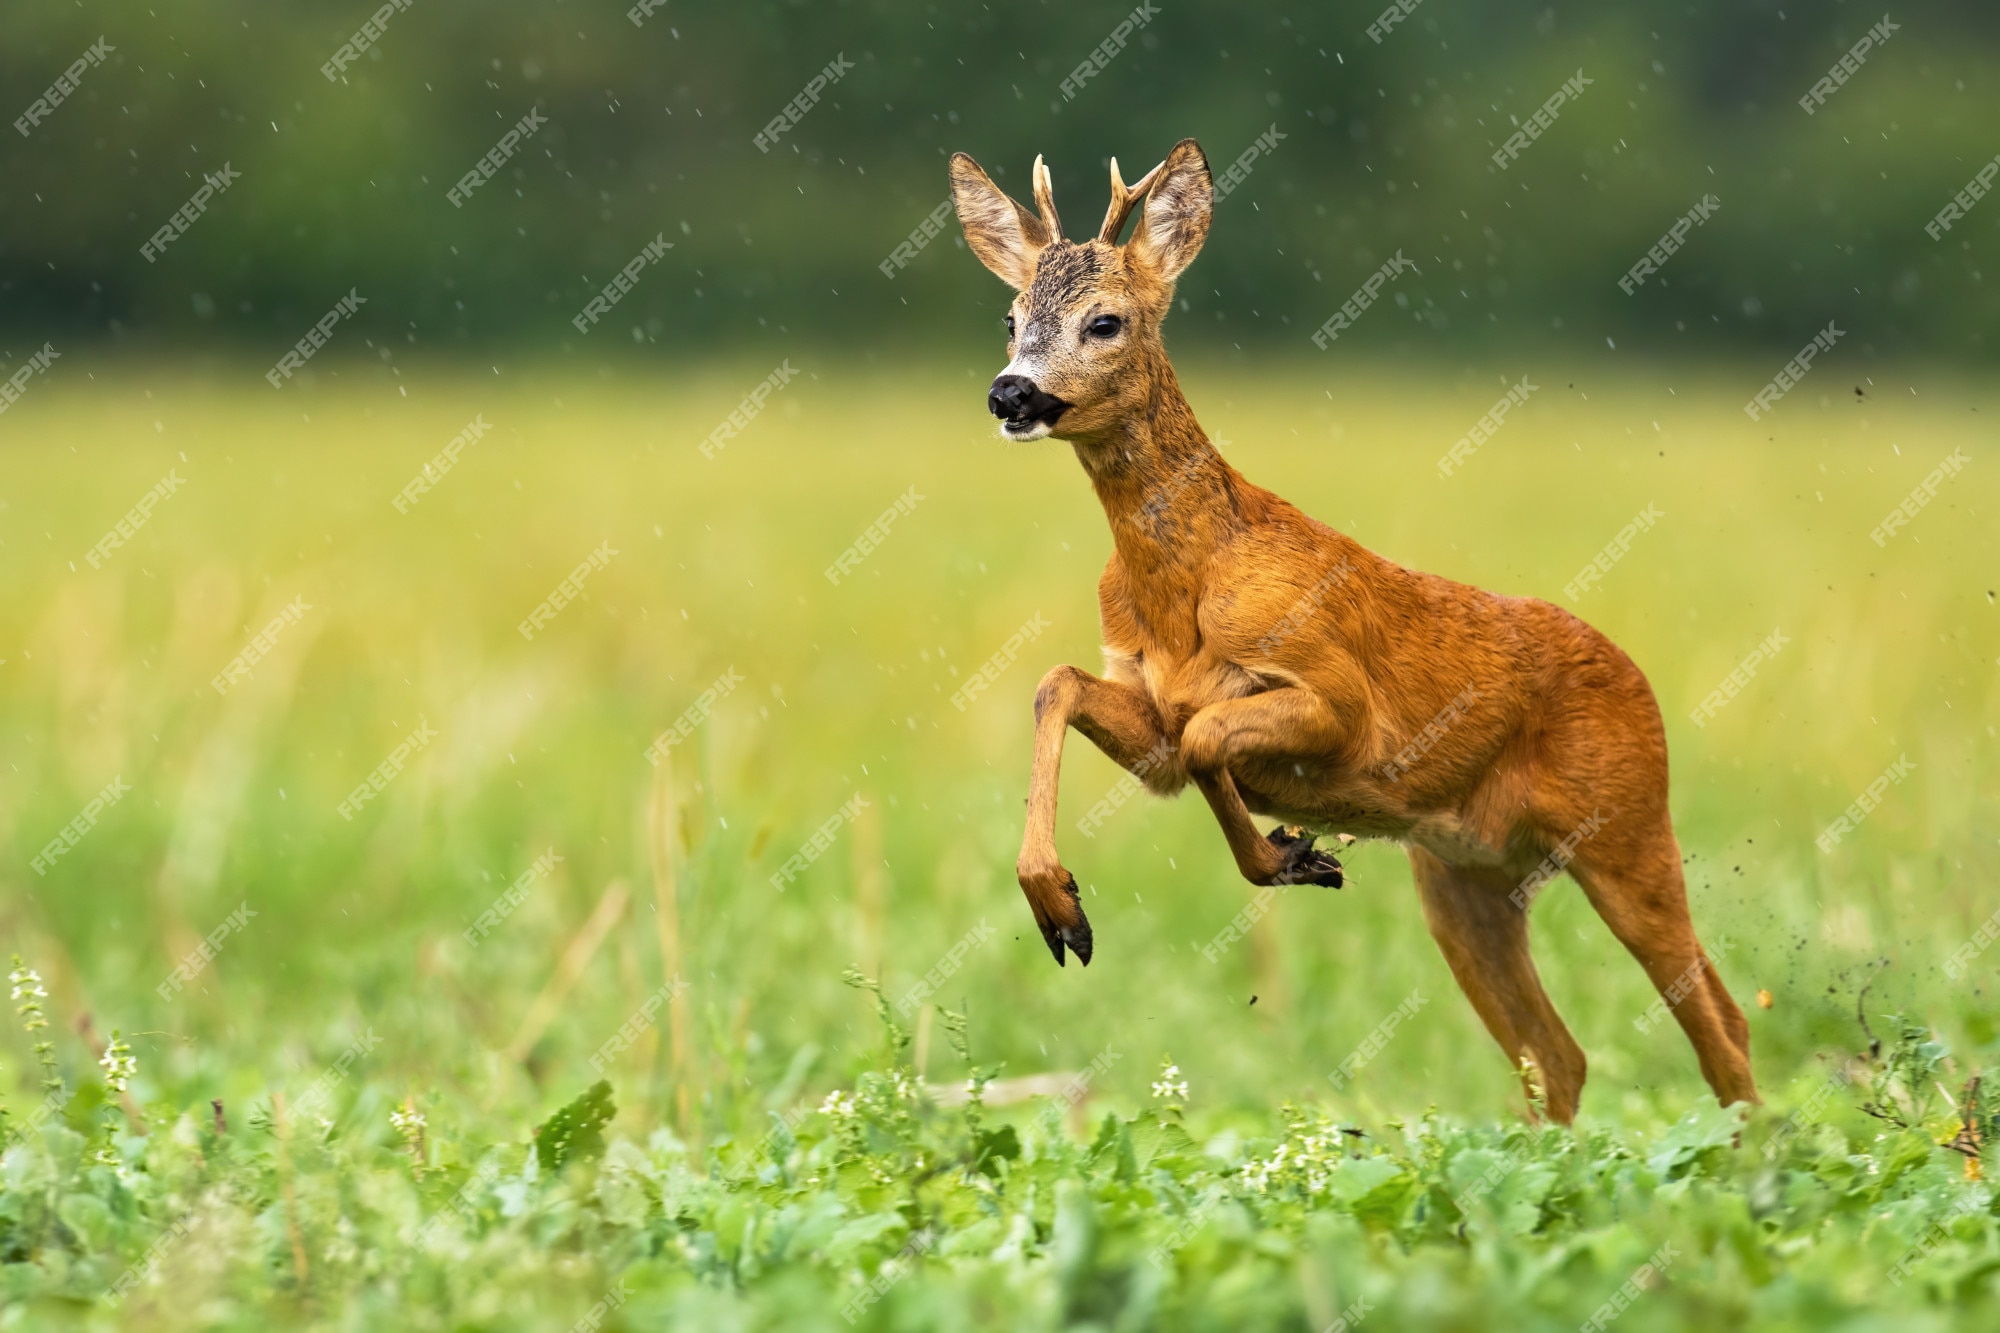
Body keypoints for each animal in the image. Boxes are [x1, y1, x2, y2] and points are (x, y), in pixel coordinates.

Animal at [948, 140, 1752, 1112]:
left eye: (1105, 321)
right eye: (1009, 316)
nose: (1011, 393)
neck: (1185, 590)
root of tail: (1642, 684)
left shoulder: (1341, 700)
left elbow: (1210, 734)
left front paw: (1285, 856)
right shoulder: (1152, 719)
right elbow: (1062, 685)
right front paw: (1062, 908)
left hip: (1627, 827)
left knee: (1722, 1022)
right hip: (1465, 876)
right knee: (1557, 1052)